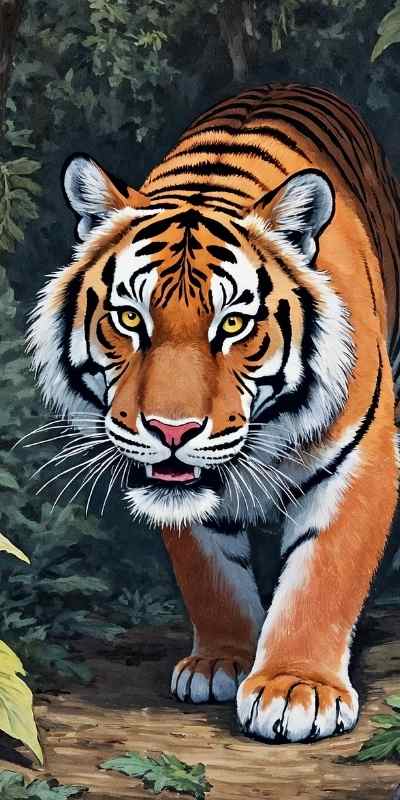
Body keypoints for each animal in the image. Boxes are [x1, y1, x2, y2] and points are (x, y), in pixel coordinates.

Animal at [28, 83, 400, 744]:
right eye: (130, 318)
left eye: (232, 325)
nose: (171, 430)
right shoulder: (172, 486)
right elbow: (211, 572)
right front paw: (221, 661)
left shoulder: (363, 455)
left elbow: (323, 574)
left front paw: (296, 688)